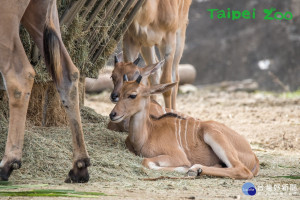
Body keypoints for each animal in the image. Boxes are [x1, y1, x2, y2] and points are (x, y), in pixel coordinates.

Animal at [109, 75, 258, 180]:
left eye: (132, 95)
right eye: (119, 93)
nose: (113, 114)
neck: (146, 135)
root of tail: (253, 156)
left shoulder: (178, 156)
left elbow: (146, 161)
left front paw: (186, 168)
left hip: (212, 133)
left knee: (241, 170)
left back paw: (195, 169)